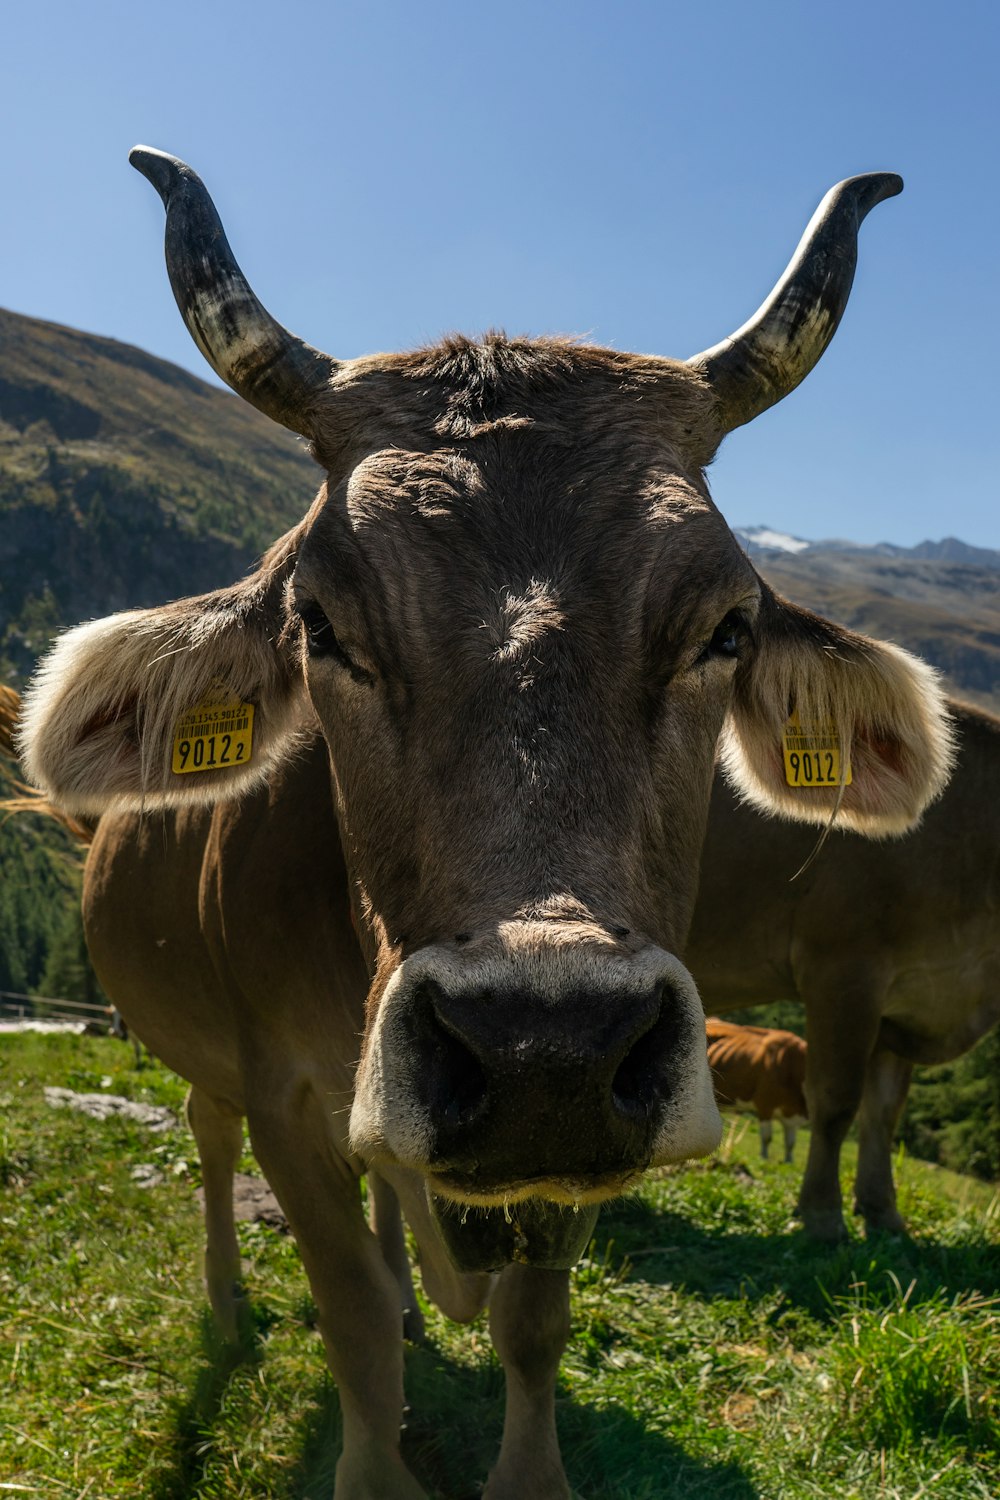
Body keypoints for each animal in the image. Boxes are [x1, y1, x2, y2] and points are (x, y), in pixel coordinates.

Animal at [707, 1014, 809, 1164]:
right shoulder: (765, 1104)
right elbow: (767, 1138)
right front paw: (764, 1159)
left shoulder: (791, 1114)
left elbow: (790, 1144)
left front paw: (788, 1162)